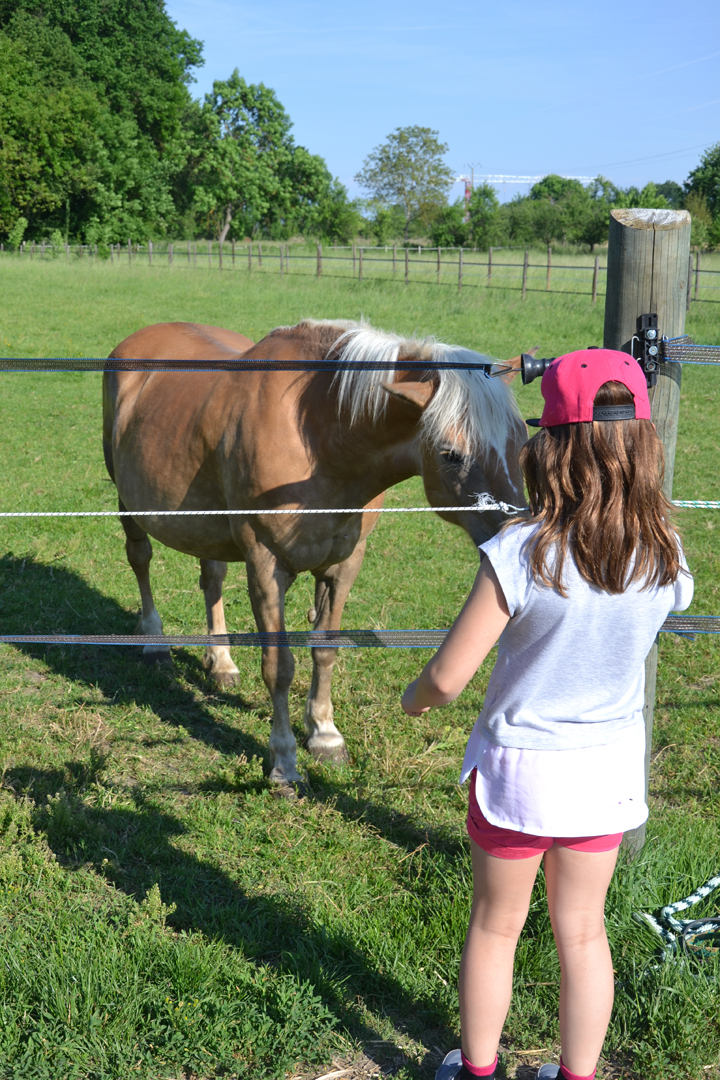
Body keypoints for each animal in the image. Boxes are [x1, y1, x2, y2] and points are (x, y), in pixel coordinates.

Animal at [103, 318, 527, 788]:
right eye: (451, 455)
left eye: (521, 442)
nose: (518, 534)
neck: (320, 443)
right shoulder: (266, 565)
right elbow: (278, 665)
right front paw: (284, 761)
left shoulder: (343, 565)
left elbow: (325, 649)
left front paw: (324, 735)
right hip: (128, 502)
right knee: (140, 559)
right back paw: (154, 640)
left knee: (211, 577)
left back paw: (221, 661)